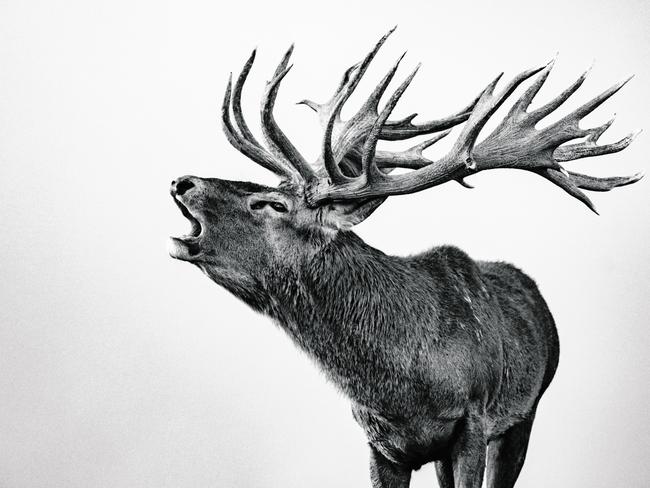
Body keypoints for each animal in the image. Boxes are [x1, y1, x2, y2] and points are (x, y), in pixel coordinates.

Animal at [166, 29, 636, 488]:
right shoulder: (381, 443)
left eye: (273, 204)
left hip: (527, 410)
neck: (401, 388)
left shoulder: (474, 419)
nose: (183, 181)